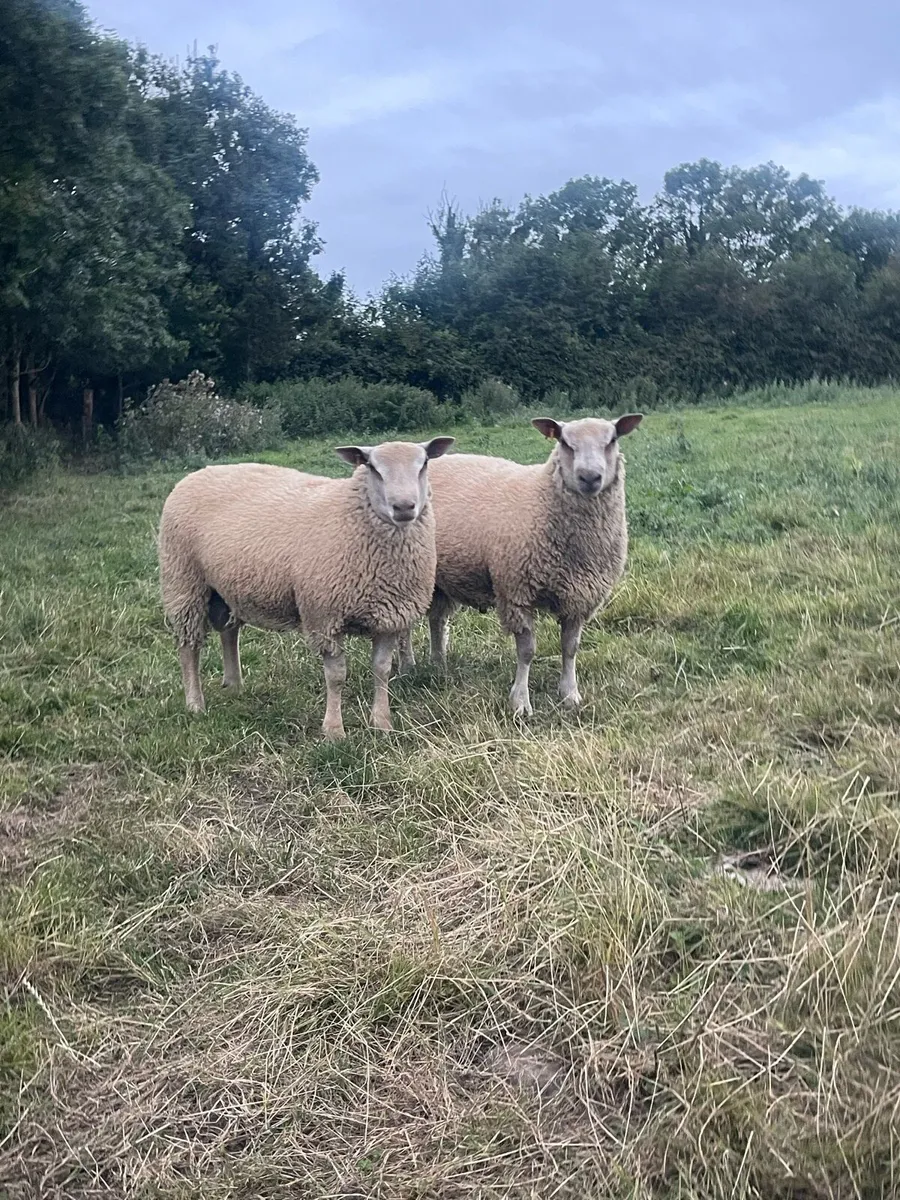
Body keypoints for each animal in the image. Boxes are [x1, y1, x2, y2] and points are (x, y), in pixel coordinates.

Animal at [158, 436, 455, 739]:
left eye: (424, 463)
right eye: (372, 467)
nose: (404, 507)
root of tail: (197, 474)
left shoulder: (389, 618)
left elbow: (381, 670)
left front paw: (381, 723)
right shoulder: (324, 618)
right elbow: (336, 677)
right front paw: (334, 731)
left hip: (226, 588)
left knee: (229, 633)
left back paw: (234, 685)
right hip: (184, 582)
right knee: (188, 647)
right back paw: (195, 703)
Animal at [397, 414, 642, 715]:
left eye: (612, 439)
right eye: (564, 441)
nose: (589, 477)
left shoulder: (579, 597)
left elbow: (570, 648)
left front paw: (570, 694)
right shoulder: (517, 593)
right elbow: (526, 652)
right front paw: (520, 702)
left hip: (440, 577)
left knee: (437, 619)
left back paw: (438, 664)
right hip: (408, 569)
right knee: (405, 624)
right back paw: (408, 666)